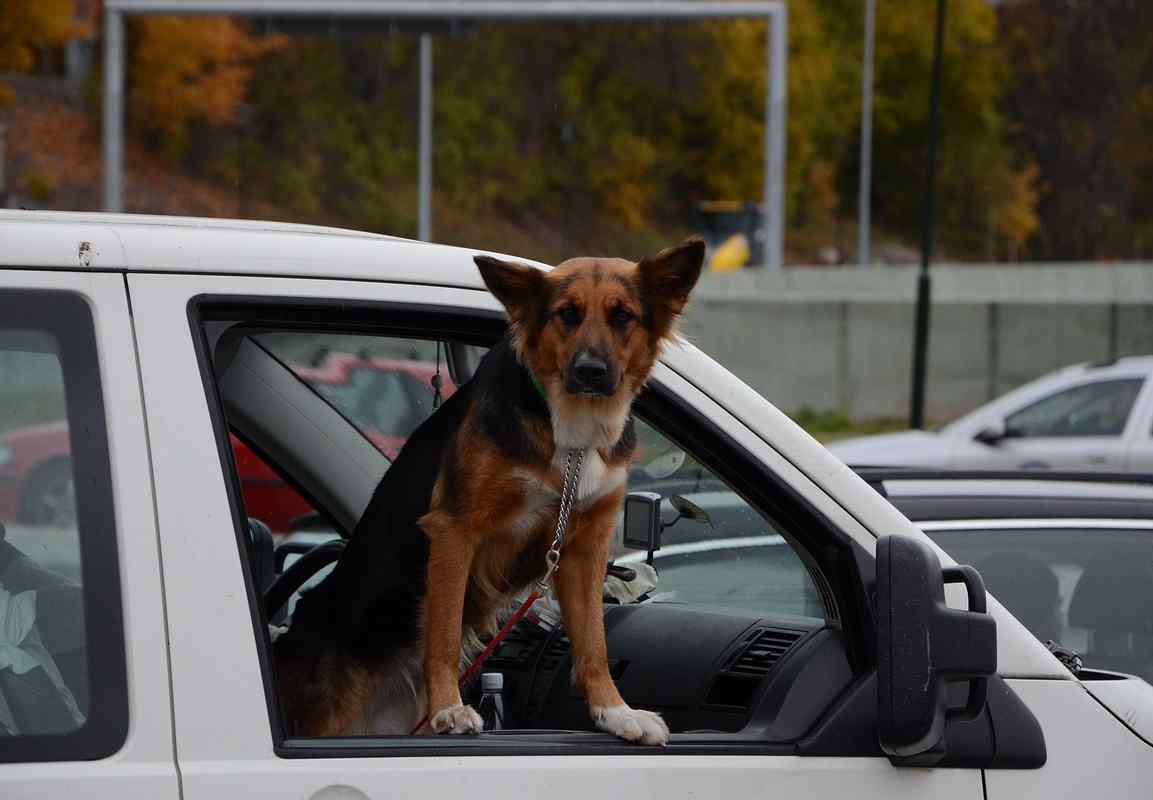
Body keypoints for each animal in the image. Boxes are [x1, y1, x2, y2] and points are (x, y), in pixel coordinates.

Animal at [274, 236, 705, 746]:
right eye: (567, 314)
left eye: (623, 316)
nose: (590, 371)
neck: (571, 431)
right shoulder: (454, 530)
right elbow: (441, 635)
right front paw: (448, 709)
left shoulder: (582, 548)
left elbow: (594, 643)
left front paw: (615, 712)